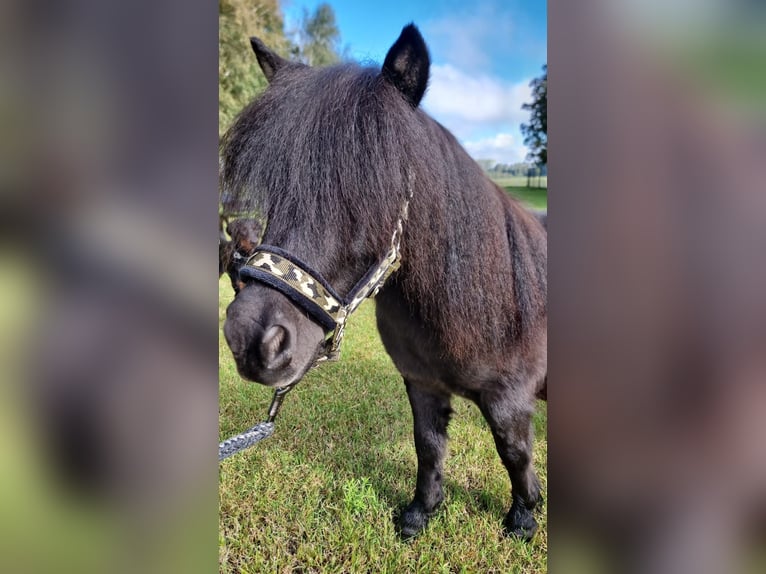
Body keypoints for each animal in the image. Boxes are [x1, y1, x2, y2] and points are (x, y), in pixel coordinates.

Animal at [219, 25, 548, 540]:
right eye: (278, 190)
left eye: (372, 191)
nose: (251, 340)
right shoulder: (422, 383)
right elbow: (428, 445)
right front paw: (420, 513)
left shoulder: (509, 398)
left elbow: (514, 452)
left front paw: (522, 518)